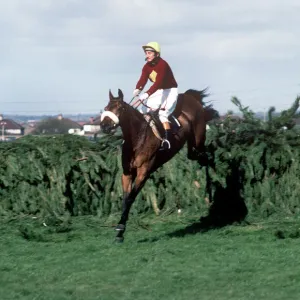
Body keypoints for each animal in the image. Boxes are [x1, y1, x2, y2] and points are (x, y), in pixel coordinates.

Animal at [99, 87, 219, 241]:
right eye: (106, 108)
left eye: (120, 108)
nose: (105, 126)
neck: (137, 139)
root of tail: (189, 97)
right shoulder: (127, 173)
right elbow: (125, 199)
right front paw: (120, 232)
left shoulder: (143, 173)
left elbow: (131, 198)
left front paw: (120, 227)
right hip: (192, 145)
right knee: (196, 156)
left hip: (198, 137)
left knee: (204, 155)